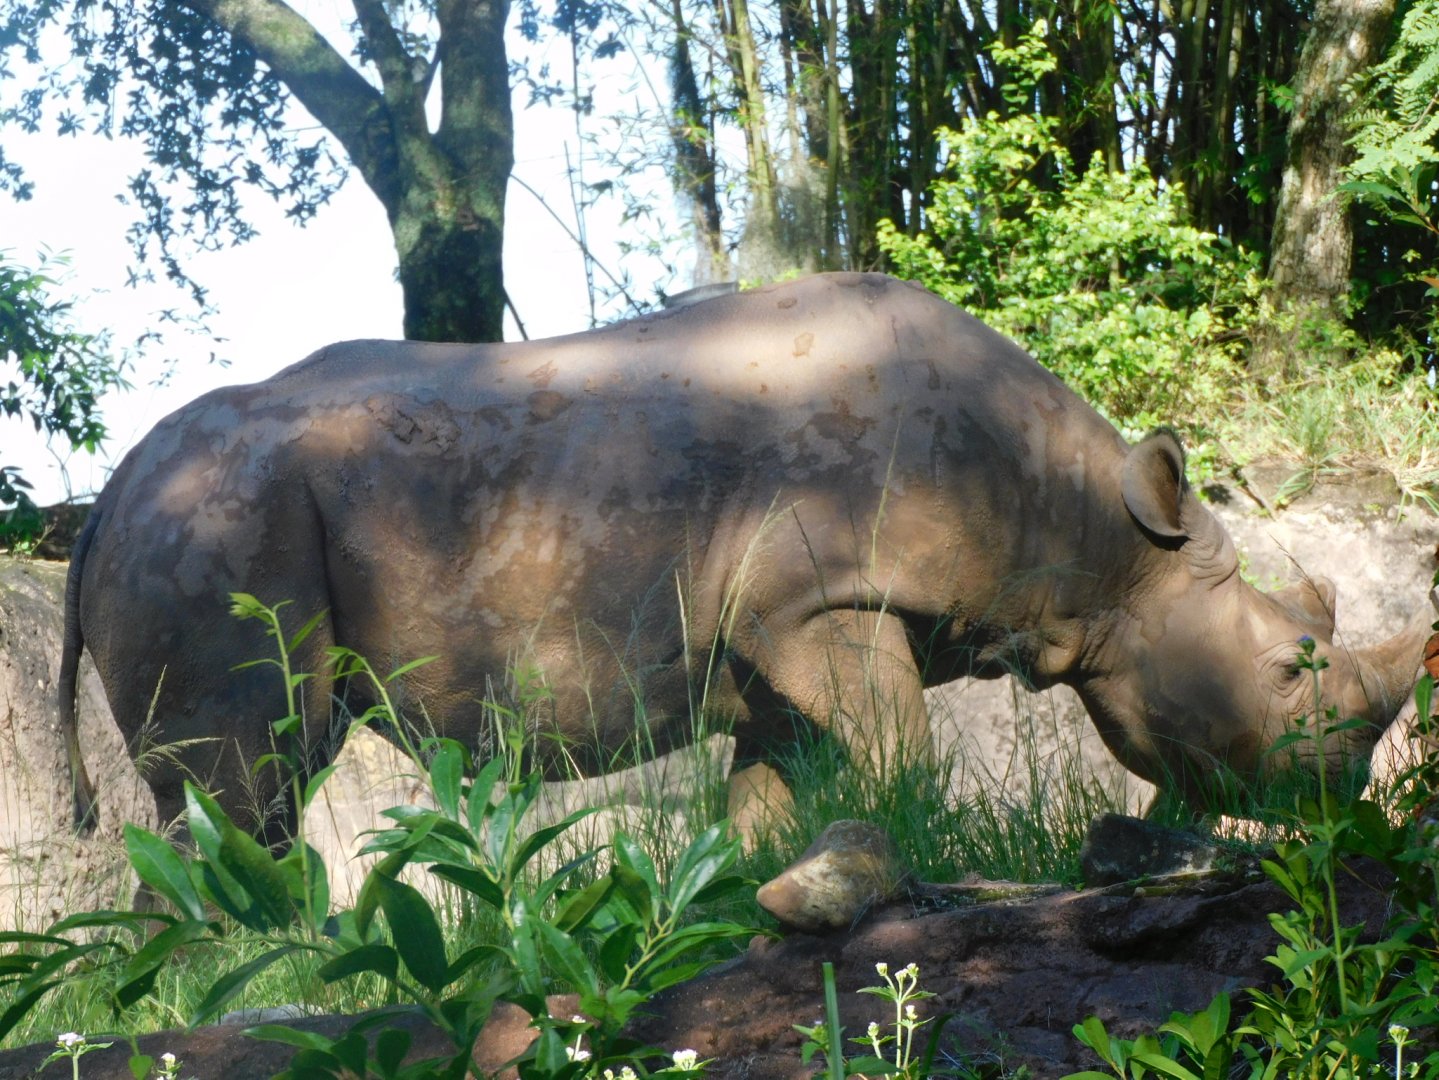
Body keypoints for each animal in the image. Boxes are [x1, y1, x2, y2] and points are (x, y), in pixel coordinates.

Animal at [60, 272, 1429, 841]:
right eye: (1293, 666)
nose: (1337, 808)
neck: (1102, 538)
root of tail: (105, 496)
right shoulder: (825, 601)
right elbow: (894, 761)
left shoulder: (787, 630)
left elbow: (783, 788)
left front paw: (762, 891)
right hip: (213, 525)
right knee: (245, 782)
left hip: (207, 521)